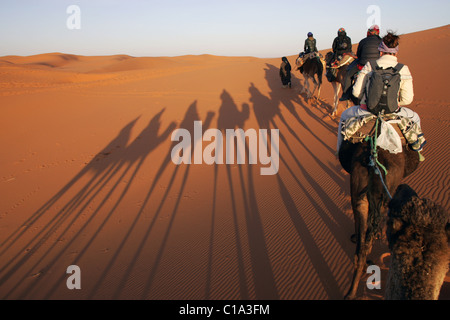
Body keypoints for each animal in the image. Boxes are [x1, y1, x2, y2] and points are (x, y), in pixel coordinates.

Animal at [338, 124, 422, 298]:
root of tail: (374, 161)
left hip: (360, 194)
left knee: (361, 247)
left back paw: (351, 292)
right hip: (385, 195)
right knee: (367, 240)